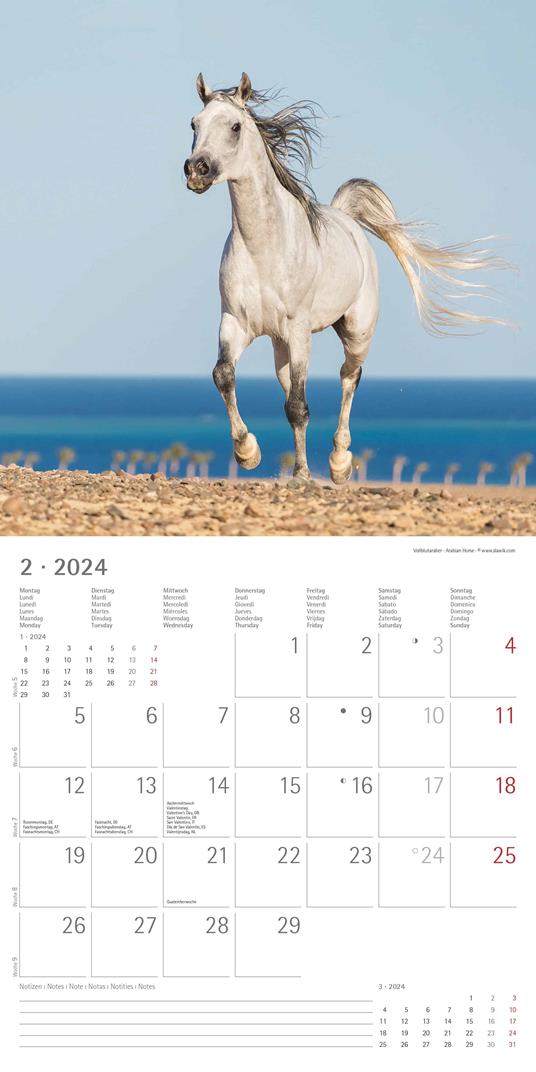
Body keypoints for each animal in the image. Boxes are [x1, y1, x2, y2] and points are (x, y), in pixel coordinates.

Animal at [184, 72, 507, 483]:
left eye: (235, 126)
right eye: (194, 124)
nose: (196, 170)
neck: (263, 247)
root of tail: (349, 219)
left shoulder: (298, 329)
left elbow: (299, 406)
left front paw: (303, 474)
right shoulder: (234, 323)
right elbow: (225, 375)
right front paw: (248, 452)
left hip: (355, 331)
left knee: (349, 377)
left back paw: (340, 463)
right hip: (280, 344)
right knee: (290, 385)